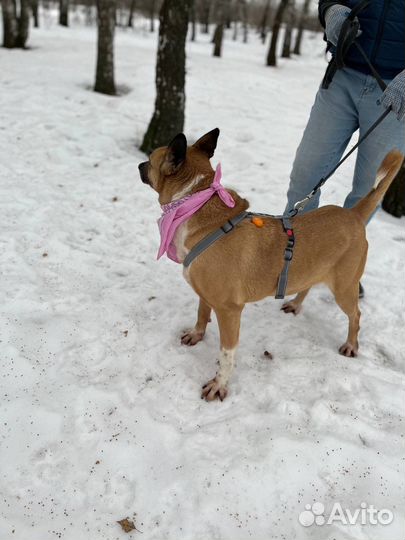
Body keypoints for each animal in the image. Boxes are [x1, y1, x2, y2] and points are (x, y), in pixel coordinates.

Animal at [138, 130, 400, 400]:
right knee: (308, 285)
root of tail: (354, 215)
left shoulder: (230, 310)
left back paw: (350, 344)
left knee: (356, 315)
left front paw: (220, 384)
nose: (139, 165)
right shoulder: (206, 295)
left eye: (151, 158)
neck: (195, 203)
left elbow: (226, 354)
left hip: (344, 289)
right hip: (313, 271)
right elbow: (201, 314)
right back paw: (295, 304)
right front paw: (196, 335)